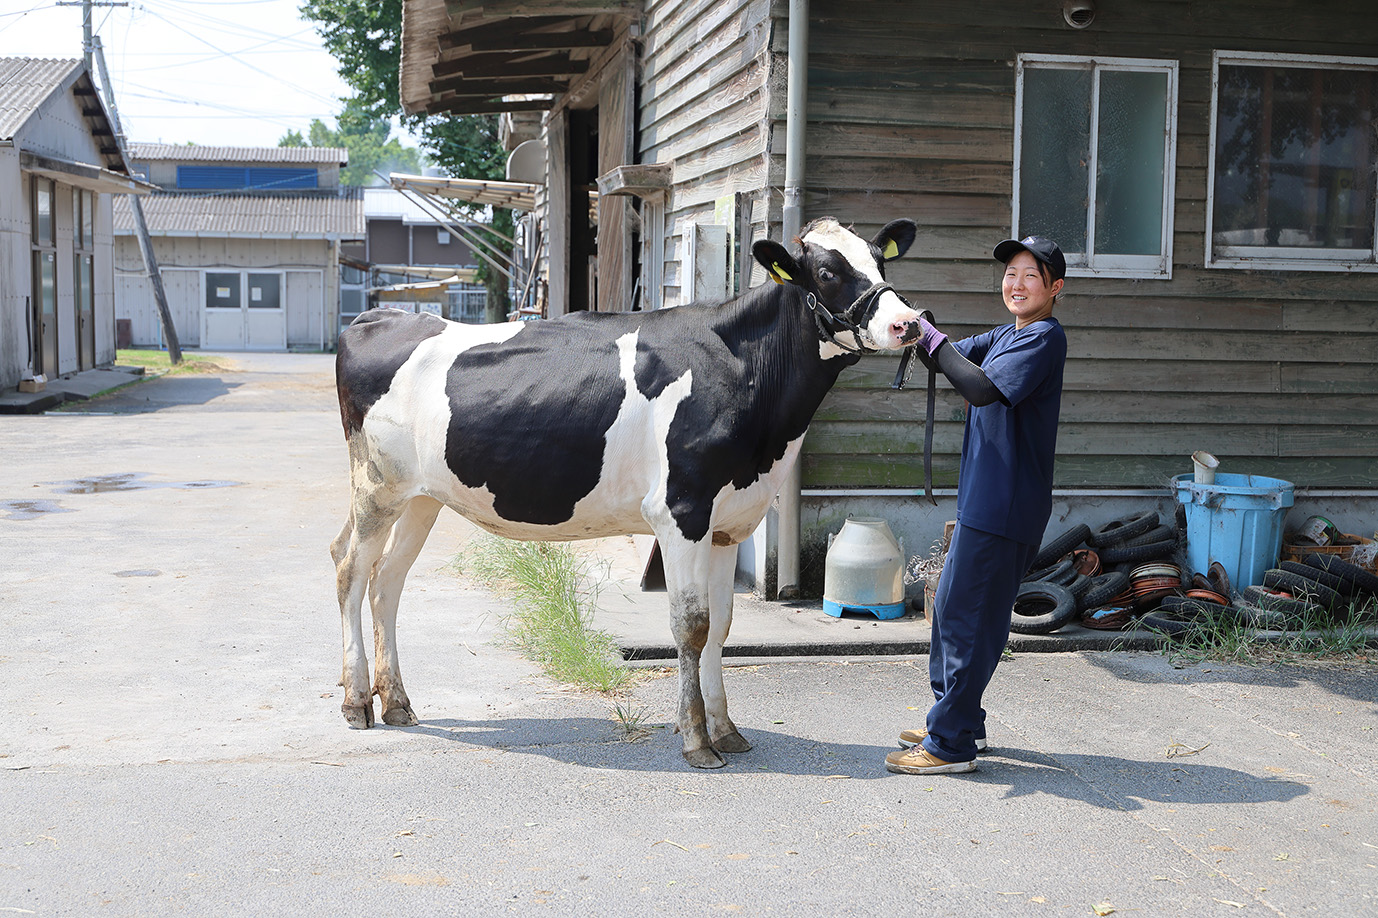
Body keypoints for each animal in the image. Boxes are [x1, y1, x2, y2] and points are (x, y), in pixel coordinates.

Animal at [327, 215, 920, 766]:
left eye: (879, 260)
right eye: (827, 271)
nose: (908, 323)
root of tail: (379, 317)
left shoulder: (729, 521)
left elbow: (722, 625)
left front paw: (727, 729)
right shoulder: (681, 511)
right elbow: (692, 625)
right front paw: (697, 740)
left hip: (422, 496)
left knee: (387, 581)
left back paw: (397, 702)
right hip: (376, 486)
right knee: (351, 570)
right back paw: (357, 703)